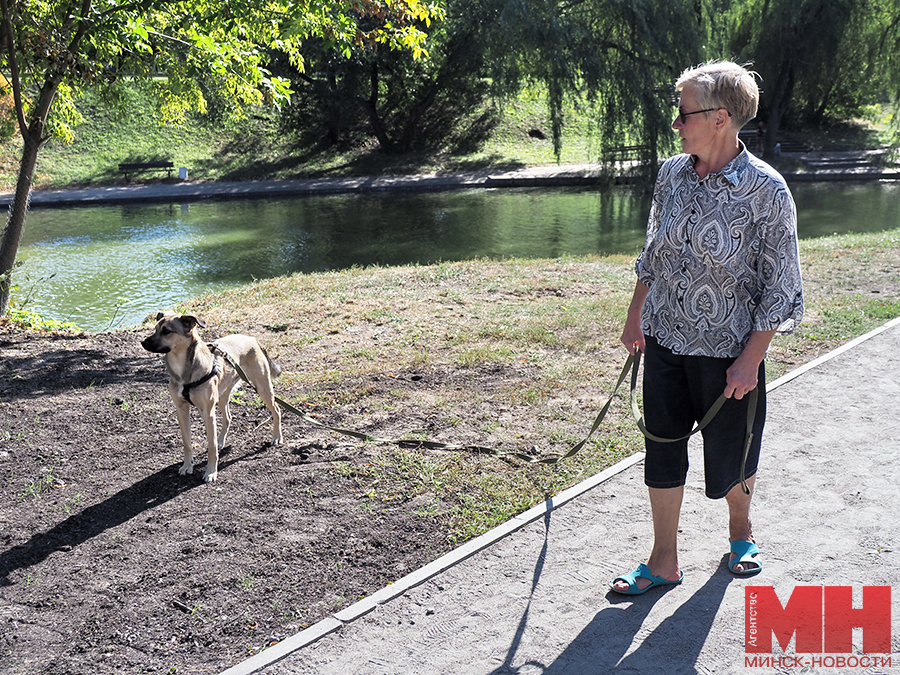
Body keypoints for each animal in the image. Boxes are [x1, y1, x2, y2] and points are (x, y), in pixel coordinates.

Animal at [141, 314, 284, 484]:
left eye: (167, 331)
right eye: (155, 328)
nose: (143, 342)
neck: (184, 370)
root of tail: (252, 339)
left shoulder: (207, 412)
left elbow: (211, 446)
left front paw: (210, 472)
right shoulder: (181, 410)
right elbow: (187, 443)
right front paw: (187, 466)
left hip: (262, 388)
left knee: (277, 410)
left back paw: (276, 437)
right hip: (223, 394)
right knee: (228, 417)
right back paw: (222, 440)